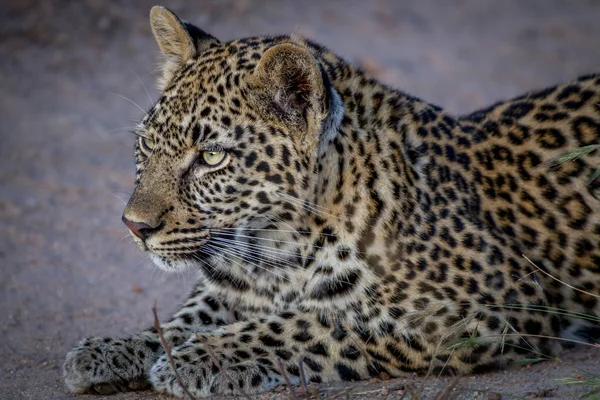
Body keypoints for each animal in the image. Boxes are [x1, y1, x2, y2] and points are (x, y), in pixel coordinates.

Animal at [62, 5, 600, 396]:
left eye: (212, 156)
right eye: (147, 146)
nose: (134, 227)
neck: (276, 249)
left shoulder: (482, 307)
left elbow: (317, 323)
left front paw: (199, 357)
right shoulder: (234, 286)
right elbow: (180, 320)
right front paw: (112, 349)